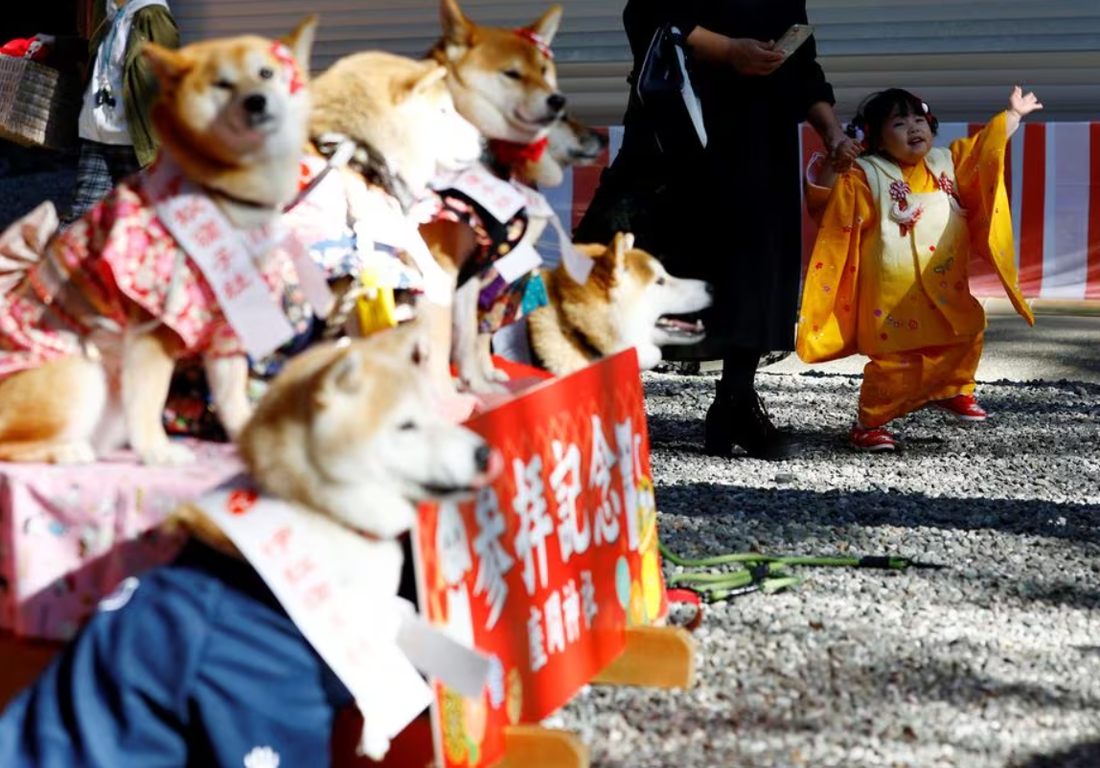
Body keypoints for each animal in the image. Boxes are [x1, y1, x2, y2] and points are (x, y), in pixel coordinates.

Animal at [0, 17, 321, 464]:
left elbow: (233, 399)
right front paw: (159, 453)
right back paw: (69, 451)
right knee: (10, 445)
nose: (257, 101)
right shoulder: (151, 327)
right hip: (82, 373)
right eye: (222, 84)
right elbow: (151, 398)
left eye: (267, 73)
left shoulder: (228, 326)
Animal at [1, 321, 503, 765]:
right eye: (406, 426)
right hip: (82, 383)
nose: (485, 452)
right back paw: (69, 449)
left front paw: (376, 732)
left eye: (436, 413)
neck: (321, 522)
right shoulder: (263, 708)